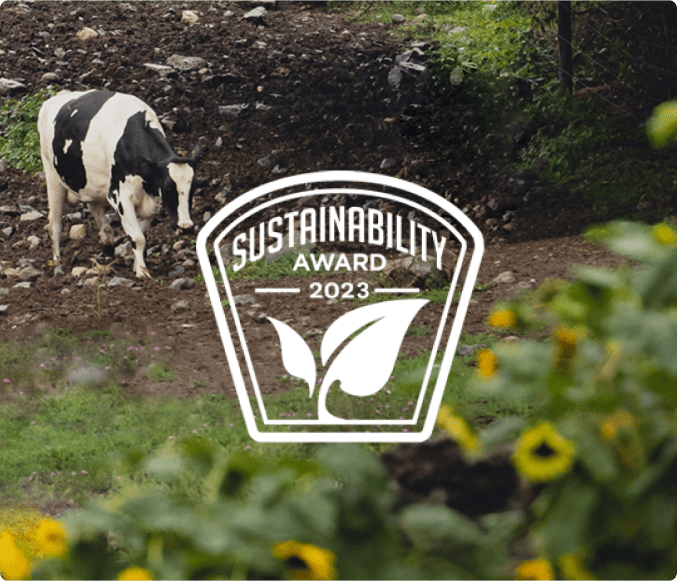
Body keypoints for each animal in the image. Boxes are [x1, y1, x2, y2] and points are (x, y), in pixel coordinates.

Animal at [37, 89, 201, 278]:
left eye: (193, 187)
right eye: (168, 188)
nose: (186, 227)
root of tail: (56, 98)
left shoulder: (153, 201)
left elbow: (140, 233)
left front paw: (136, 264)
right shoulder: (119, 196)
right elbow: (138, 237)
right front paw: (142, 272)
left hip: (91, 184)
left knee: (97, 212)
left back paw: (107, 243)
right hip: (52, 175)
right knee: (55, 224)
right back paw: (57, 263)